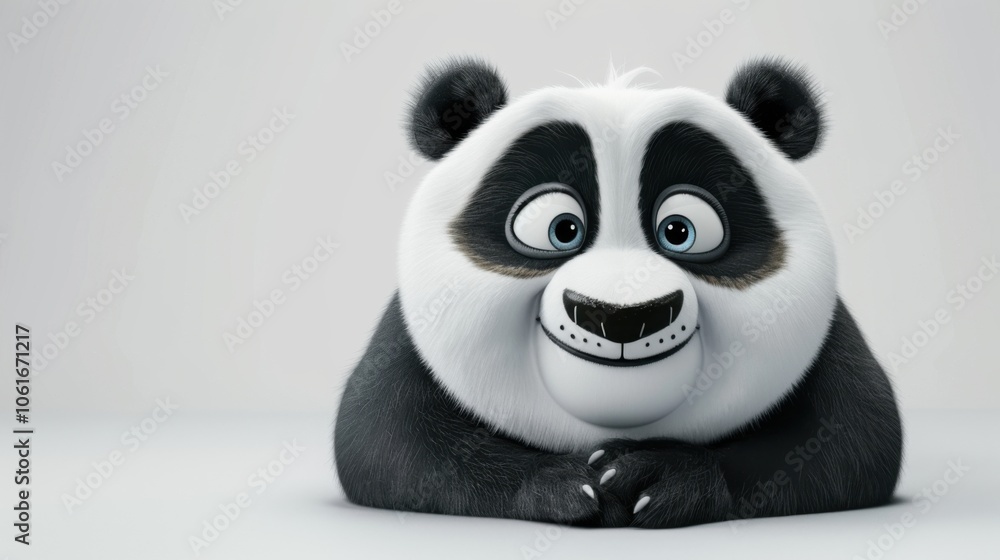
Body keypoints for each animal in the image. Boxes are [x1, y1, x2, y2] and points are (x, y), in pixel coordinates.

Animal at [334, 56, 903, 528]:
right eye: (559, 229)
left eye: (681, 230)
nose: (624, 317)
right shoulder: (408, 336)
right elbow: (385, 439)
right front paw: (567, 487)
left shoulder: (827, 337)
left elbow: (850, 437)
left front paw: (658, 476)